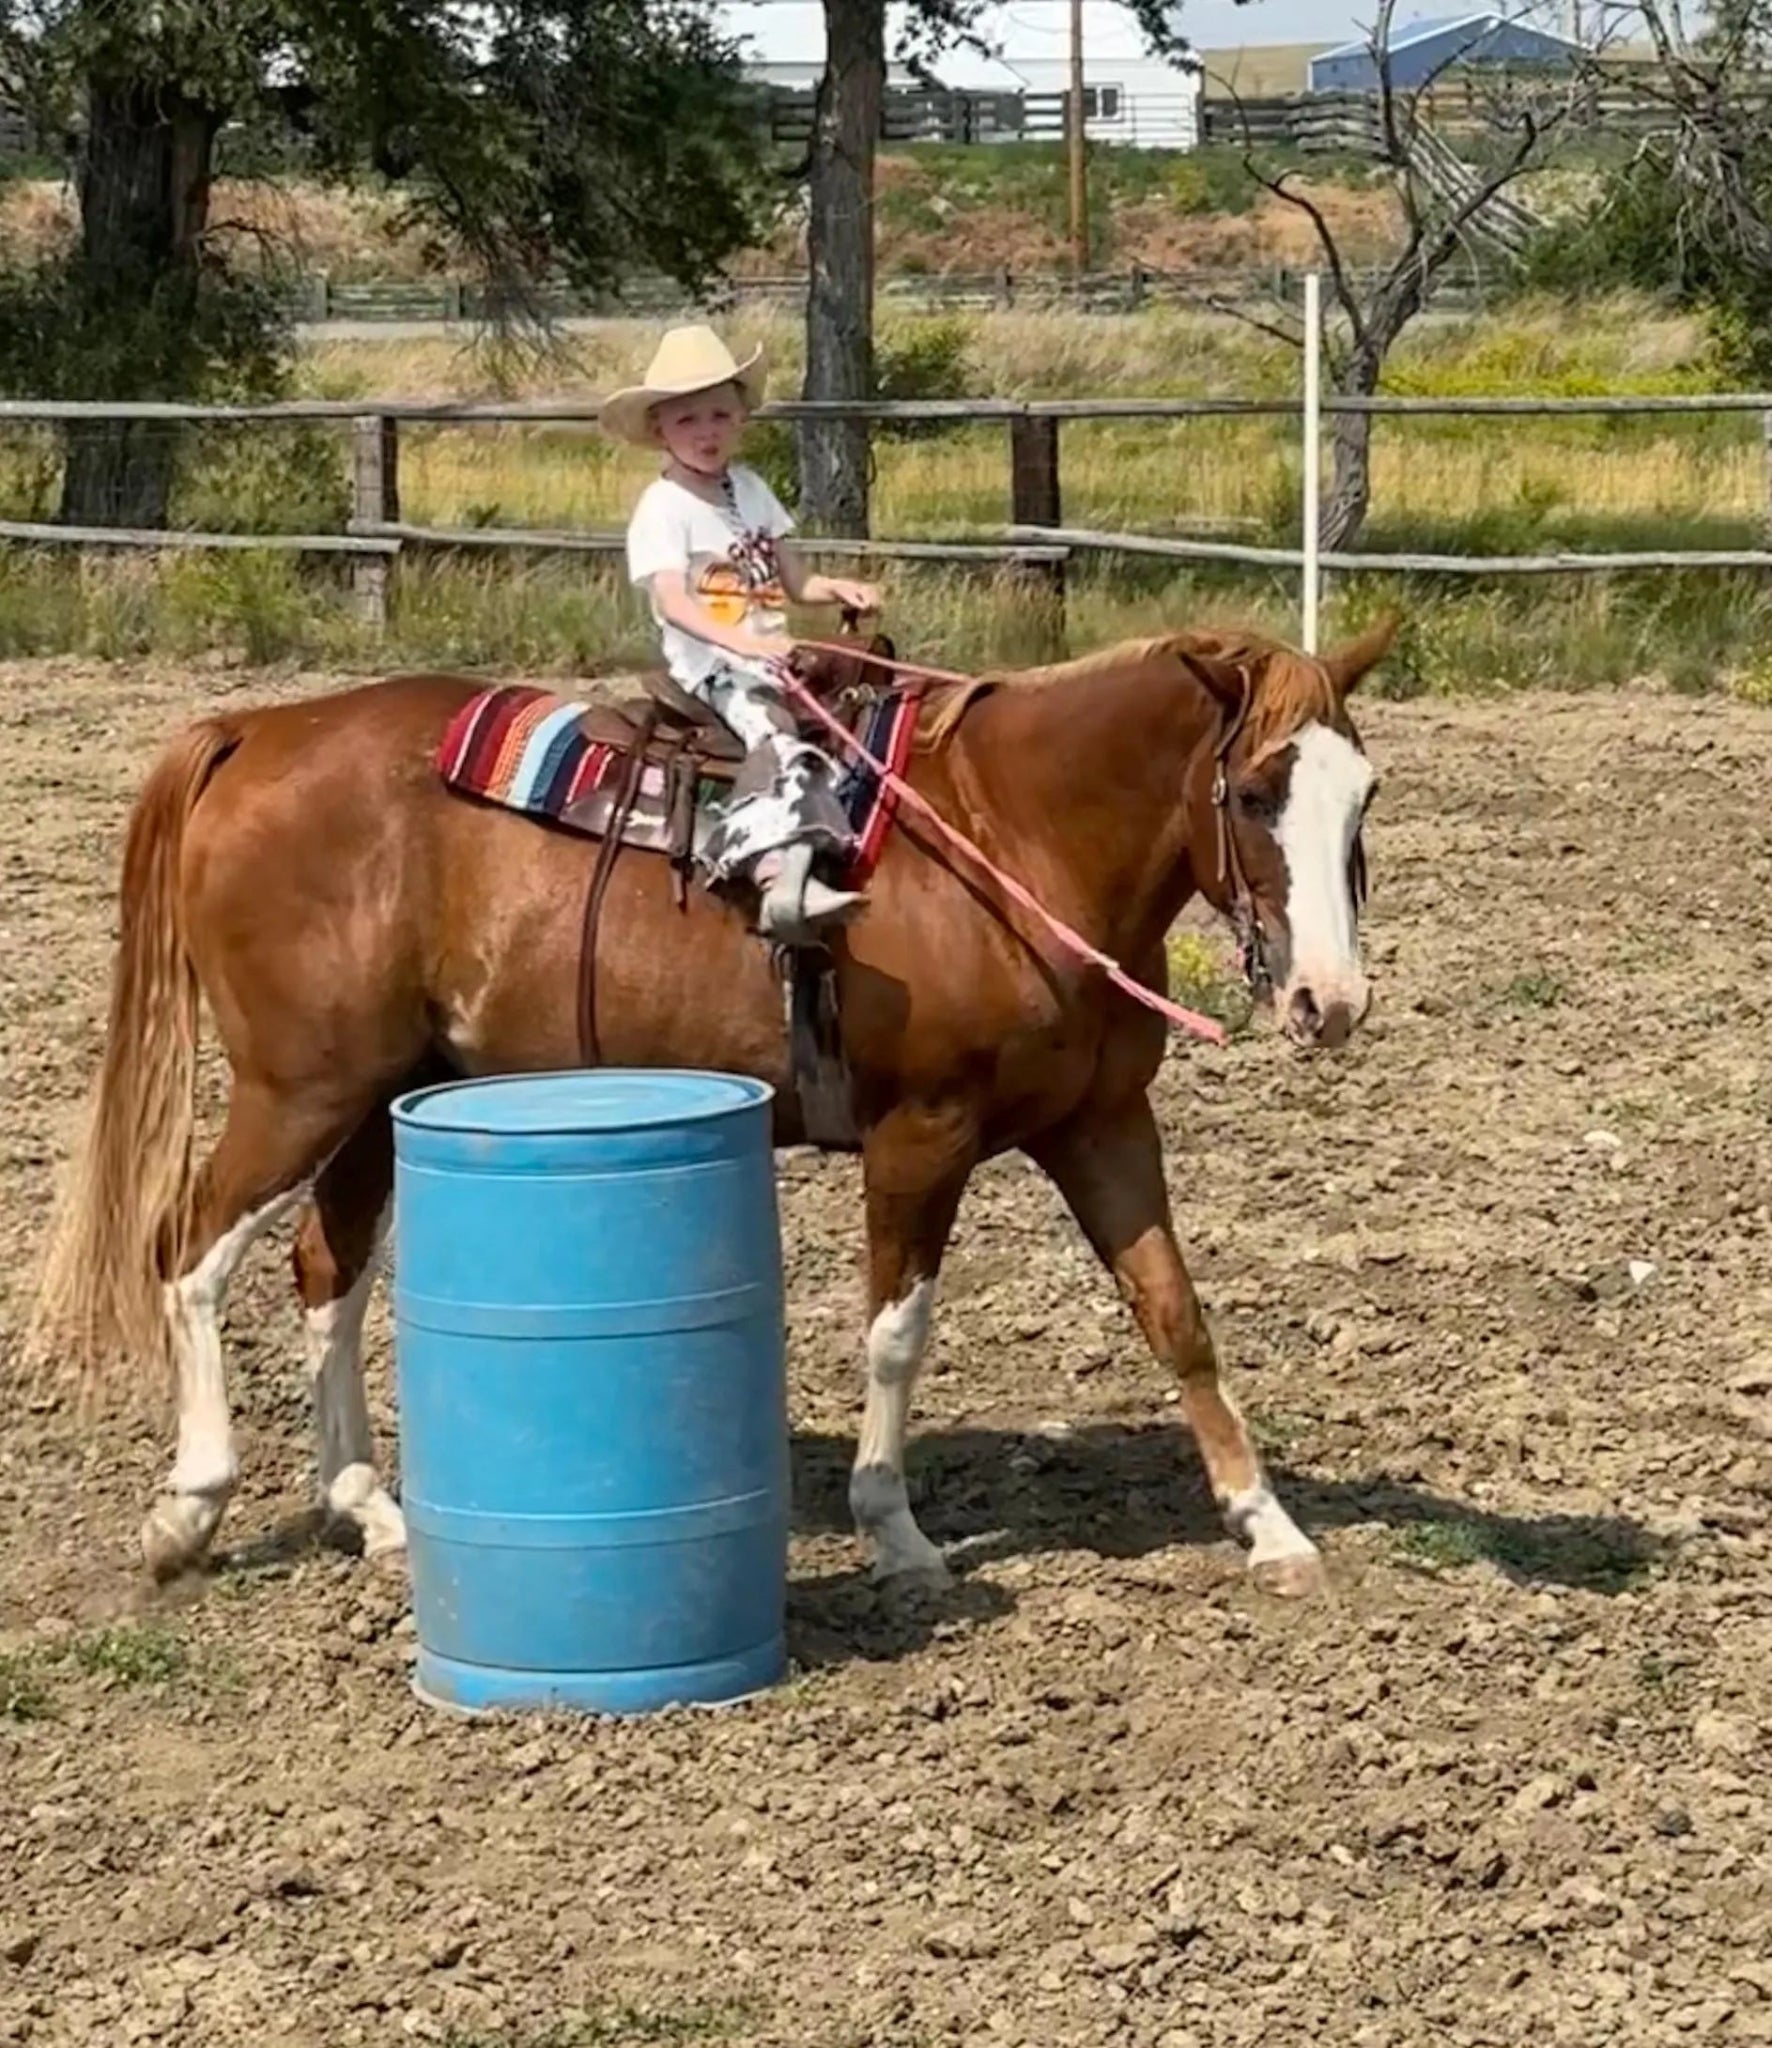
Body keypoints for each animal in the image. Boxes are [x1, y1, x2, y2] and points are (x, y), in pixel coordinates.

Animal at [24, 614, 1384, 1589]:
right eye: (1253, 790)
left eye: (1360, 794)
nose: (1328, 999)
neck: (1011, 839)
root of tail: (255, 729)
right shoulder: (920, 1134)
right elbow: (896, 1333)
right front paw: (896, 1533)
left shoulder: (1100, 1127)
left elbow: (1175, 1313)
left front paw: (1267, 1524)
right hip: (296, 1090)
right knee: (189, 1253)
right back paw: (191, 1505)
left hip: (383, 1093)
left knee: (328, 1270)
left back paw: (366, 1505)